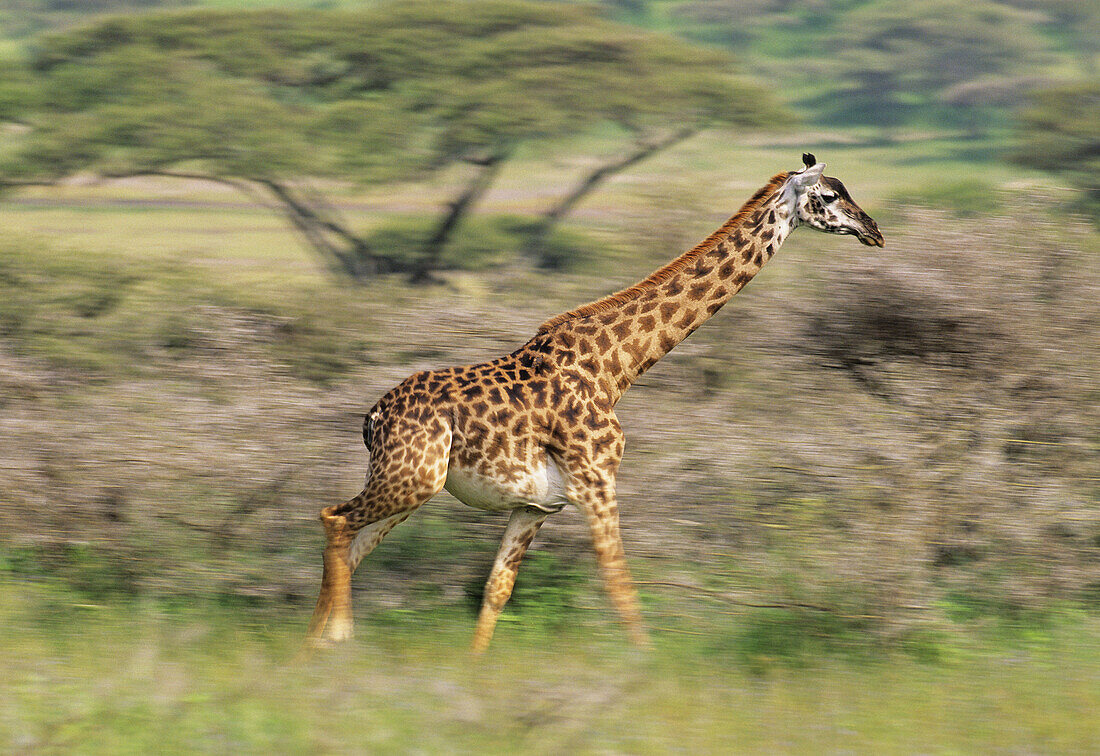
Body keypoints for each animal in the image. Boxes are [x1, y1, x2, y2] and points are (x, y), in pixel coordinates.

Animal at [303, 151, 884, 651]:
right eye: (830, 196)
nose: (874, 231)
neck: (614, 369)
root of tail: (373, 417)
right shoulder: (598, 482)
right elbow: (620, 584)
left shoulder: (537, 505)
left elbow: (496, 592)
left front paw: (474, 675)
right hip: (412, 478)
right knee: (335, 520)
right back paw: (335, 641)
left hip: (410, 485)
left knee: (351, 545)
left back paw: (311, 653)